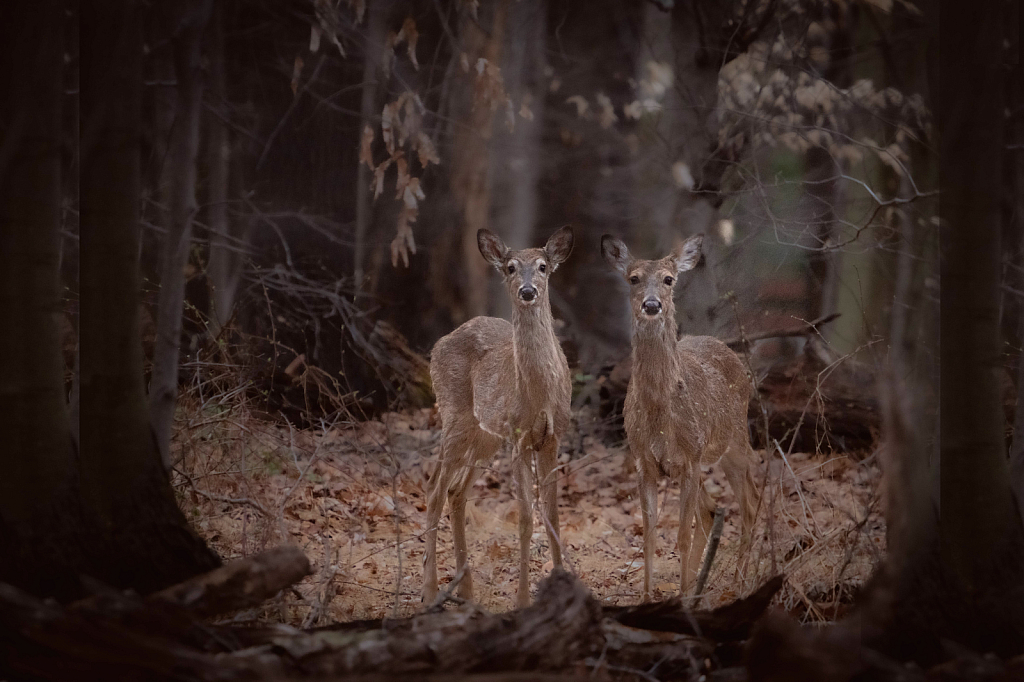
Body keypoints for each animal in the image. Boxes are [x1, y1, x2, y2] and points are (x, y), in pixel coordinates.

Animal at [419, 223, 573, 606]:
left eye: (543, 266)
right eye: (510, 267)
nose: (528, 291)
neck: (540, 393)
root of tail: (439, 343)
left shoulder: (553, 437)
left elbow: (553, 513)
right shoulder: (519, 436)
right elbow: (526, 517)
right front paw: (522, 600)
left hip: (485, 435)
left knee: (456, 492)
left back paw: (466, 590)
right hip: (455, 416)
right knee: (434, 487)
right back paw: (430, 591)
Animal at [598, 231, 761, 598]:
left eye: (669, 279)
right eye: (633, 278)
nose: (652, 304)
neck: (661, 414)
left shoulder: (689, 458)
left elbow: (682, 536)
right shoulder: (644, 462)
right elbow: (648, 538)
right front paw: (649, 598)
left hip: (733, 442)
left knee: (750, 501)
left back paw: (738, 583)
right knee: (711, 510)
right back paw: (696, 587)